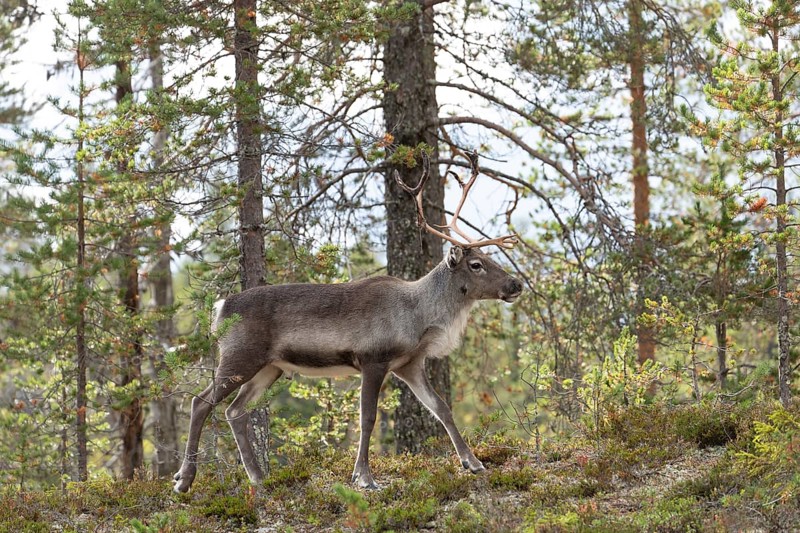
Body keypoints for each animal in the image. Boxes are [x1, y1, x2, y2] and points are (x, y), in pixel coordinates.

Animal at [173, 152, 523, 493]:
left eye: (492, 257)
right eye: (476, 264)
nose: (516, 284)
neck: (419, 319)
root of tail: (219, 308)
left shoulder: (409, 364)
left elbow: (441, 408)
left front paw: (473, 463)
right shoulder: (372, 359)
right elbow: (368, 418)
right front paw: (364, 477)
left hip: (270, 367)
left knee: (234, 411)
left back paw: (258, 479)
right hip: (240, 355)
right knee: (200, 402)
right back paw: (184, 479)